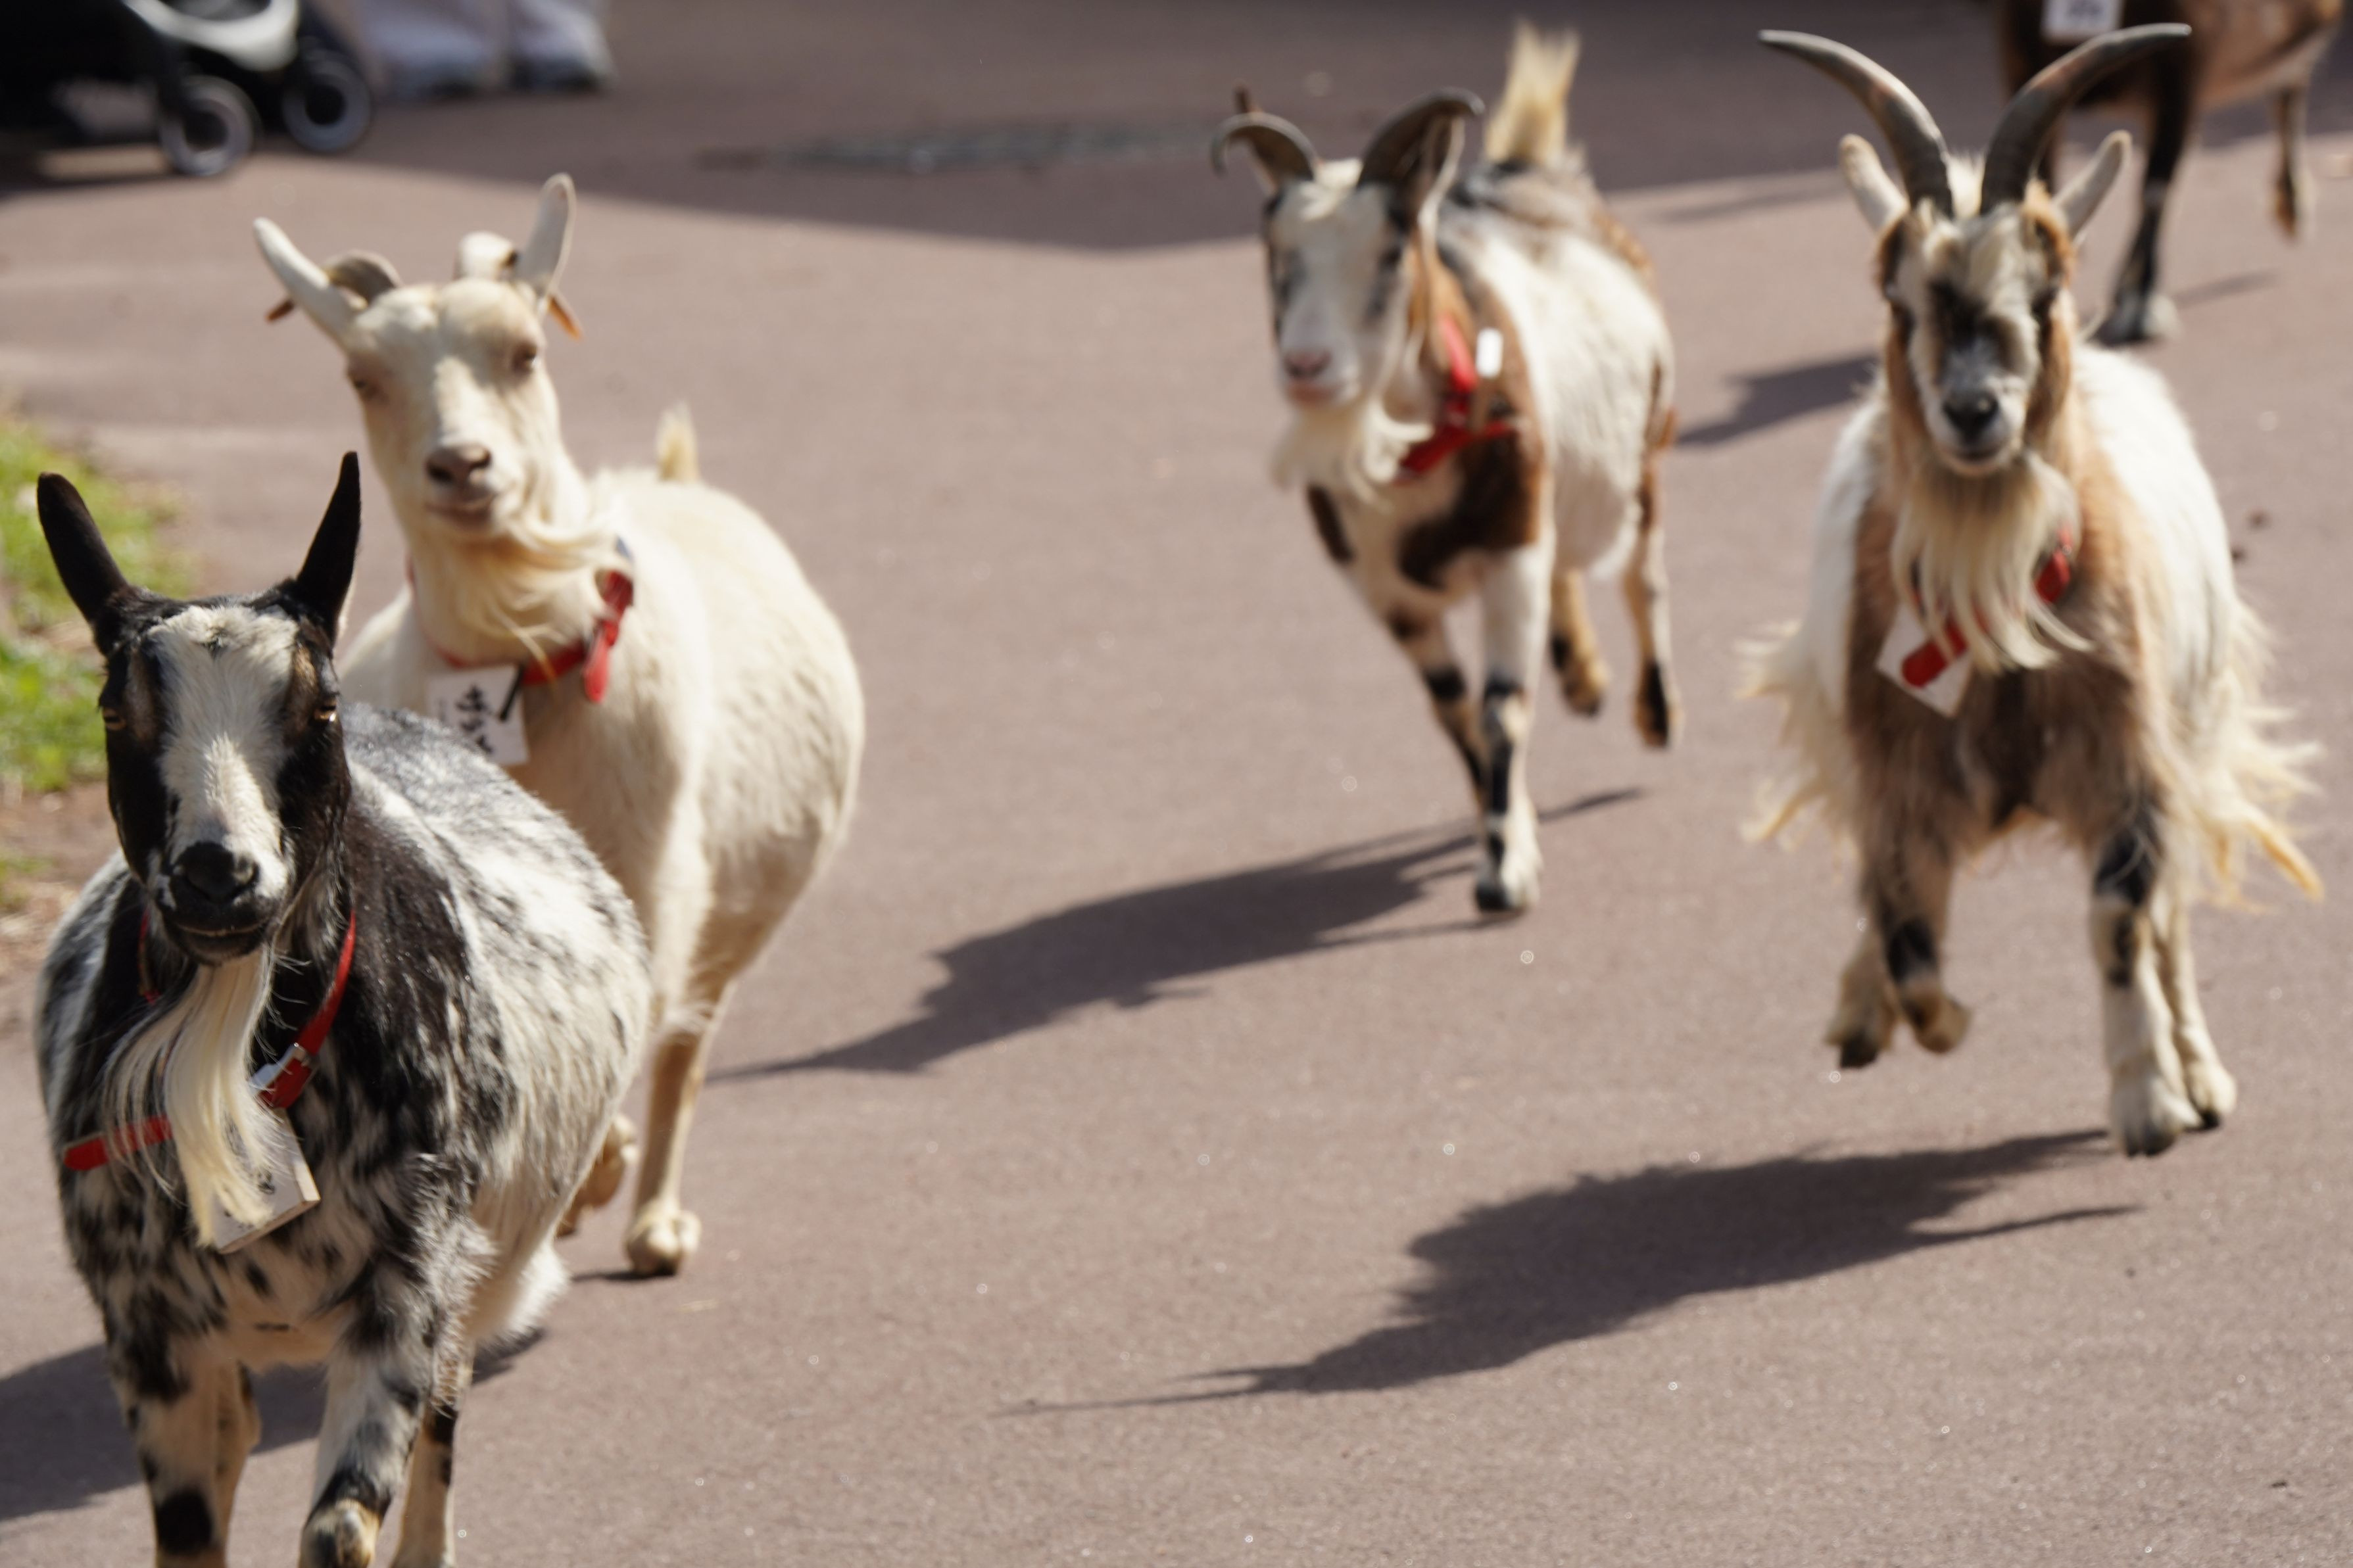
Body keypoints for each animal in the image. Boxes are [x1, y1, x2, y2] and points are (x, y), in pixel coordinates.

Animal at [32, 455, 649, 1568]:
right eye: (112, 711)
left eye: (315, 708)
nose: (217, 875)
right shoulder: (148, 1335)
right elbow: (190, 1532)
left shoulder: (408, 1285)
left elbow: (339, 1527)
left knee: (442, 1418)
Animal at [255, 175, 865, 1276]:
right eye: (364, 376)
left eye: (526, 350)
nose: (463, 466)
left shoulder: (654, 875)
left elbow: (637, 1028)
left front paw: (605, 1183)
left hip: (741, 906)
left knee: (687, 1042)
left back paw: (656, 1221)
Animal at [1214, 25, 1679, 915]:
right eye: (1274, 255)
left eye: (1392, 252)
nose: (1307, 366)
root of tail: (1527, 169)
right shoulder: (1385, 594)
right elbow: (1454, 714)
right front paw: (1507, 827)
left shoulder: (1508, 552)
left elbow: (1501, 712)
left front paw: (1503, 875)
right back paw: (1581, 678)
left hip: (1644, 453)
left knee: (1641, 575)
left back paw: (1653, 712)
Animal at [1746, 26, 2320, 1157]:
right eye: (1899, 303)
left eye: (2046, 292)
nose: (1974, 412)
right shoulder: (1899, 773)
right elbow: (1908, 938)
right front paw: (1928, 1019)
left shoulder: (2128, 759)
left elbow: (2121, 921)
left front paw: (2148, 1102)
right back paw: (1857, 1012)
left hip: (2192, 722)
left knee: (2169, 919)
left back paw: (2202, 1075)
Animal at [1995, 0, 2345, 343]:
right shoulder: (2025, 54)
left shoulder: (2183, 66)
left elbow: (2155, 190)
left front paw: (2143, 304)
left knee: (2294, 81)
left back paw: (2292, 205)